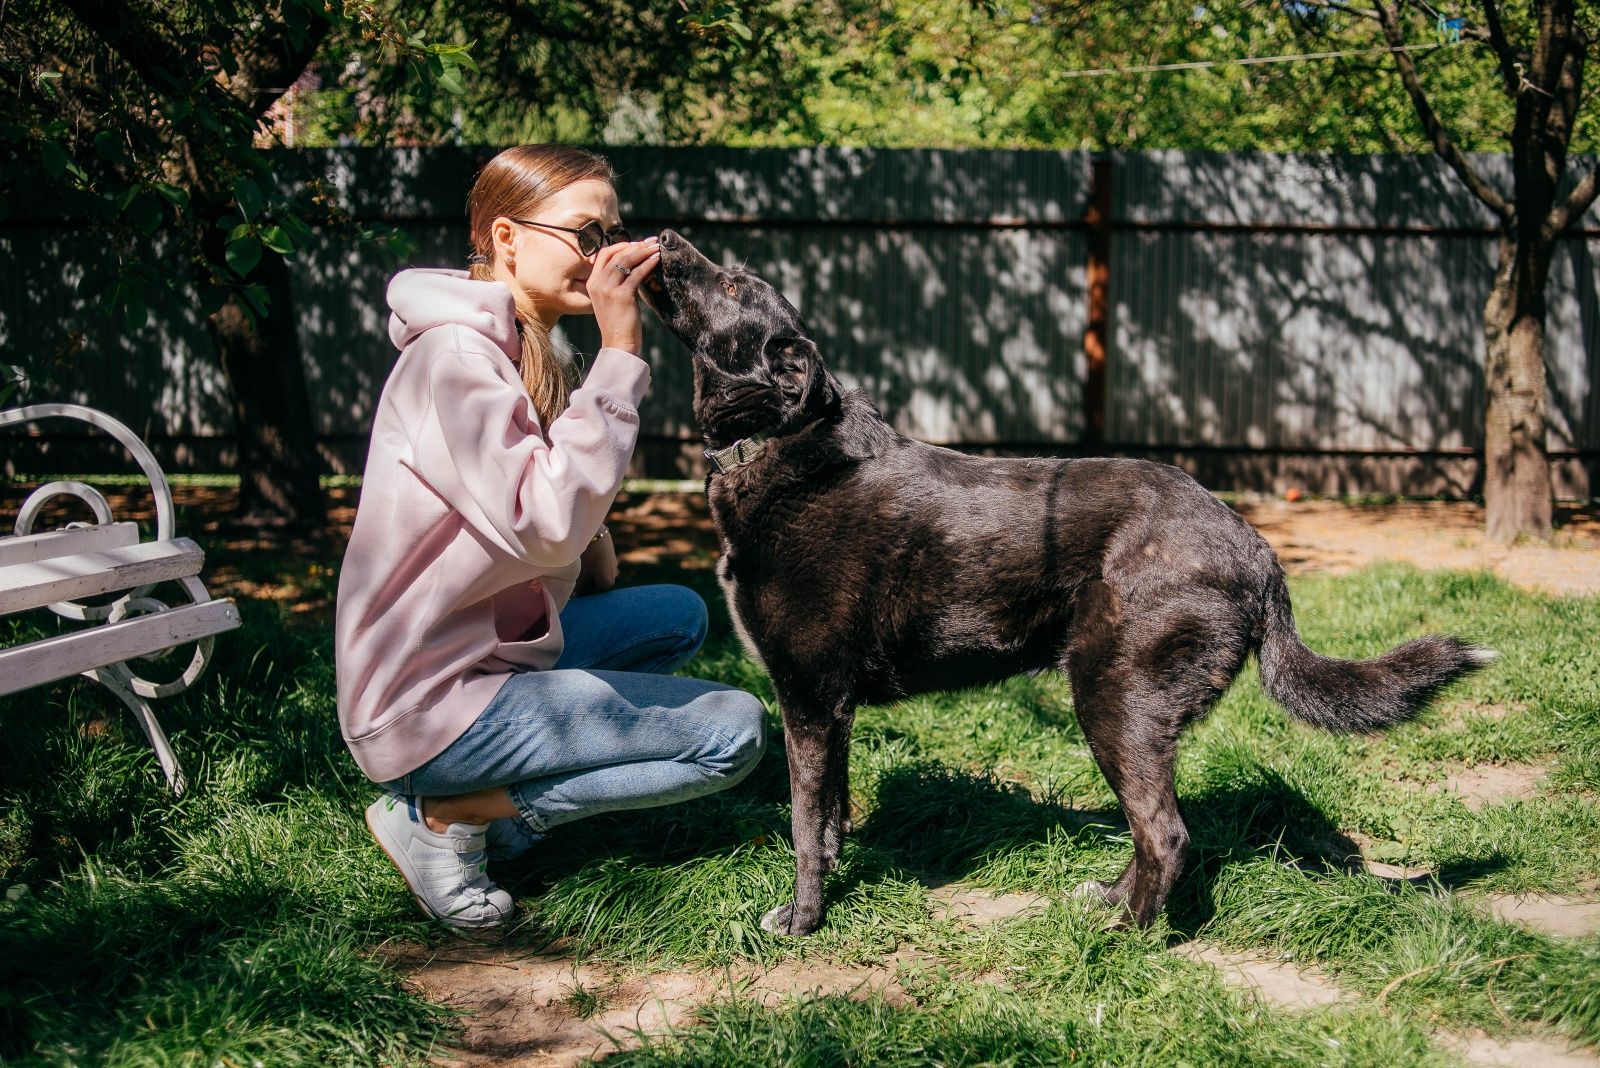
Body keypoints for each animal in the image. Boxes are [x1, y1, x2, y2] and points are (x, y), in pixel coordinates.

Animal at [636, 227, 1484, 933]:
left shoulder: (809, 698)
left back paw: (1125, 938)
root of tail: (1256, 547)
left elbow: (805, 828)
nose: (668, 234)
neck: (778, 443)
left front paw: (803, 921)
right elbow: (834, 817)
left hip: (1115, 698)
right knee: (1152, 834)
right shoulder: (830, 711)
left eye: (734, 283)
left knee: (1166, 834)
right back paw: (1106, 903)